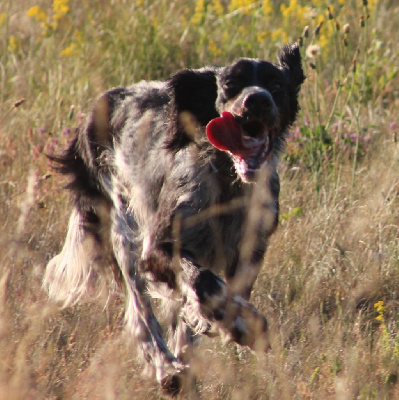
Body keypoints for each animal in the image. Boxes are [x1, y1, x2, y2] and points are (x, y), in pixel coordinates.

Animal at [43, 43, 304, 394]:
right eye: (230, 85)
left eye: (276, 85)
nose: (257, 100)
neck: (227, 183)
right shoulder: (157, 249)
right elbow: (202, 281)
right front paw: (234, 322)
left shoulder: (250, 252)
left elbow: (221, 296)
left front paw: (231, 320)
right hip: (125, 232)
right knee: (141, 313)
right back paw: (167, 367)